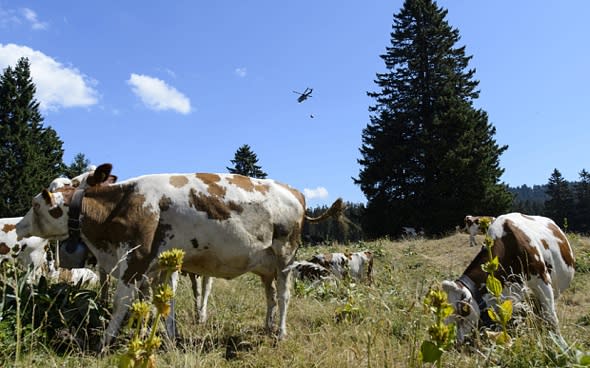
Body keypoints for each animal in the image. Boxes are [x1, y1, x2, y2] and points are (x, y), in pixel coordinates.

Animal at [16, 163, 344, 348]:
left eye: (35, 205)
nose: (18, 226)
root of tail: (293, 190)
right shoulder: (157, 265)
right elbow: (161, 303)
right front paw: (165, 338)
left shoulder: (135, 259)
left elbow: (123, 302)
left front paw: (105, 342)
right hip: (266, 265)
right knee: (270, 296)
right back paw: (268, 326)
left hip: (285, 257)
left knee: (285, 296)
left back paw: (281, 333)